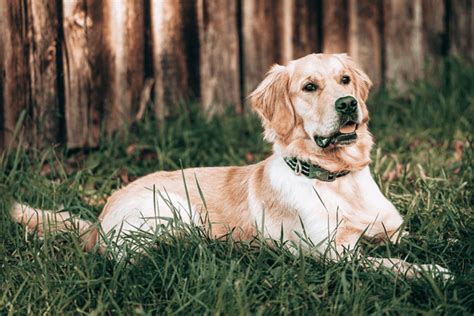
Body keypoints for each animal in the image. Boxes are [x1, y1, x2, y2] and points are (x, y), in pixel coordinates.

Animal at [10, 54, 448, 278]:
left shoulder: (393, 230)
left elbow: (412, 240)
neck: (336, 178)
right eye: (309, 87)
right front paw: (429, 271)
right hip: (175, 208)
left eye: (345, 80)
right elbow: (385, 263)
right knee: (132, 257)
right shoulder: (329, 253)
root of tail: (97, 222)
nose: (348, 104)